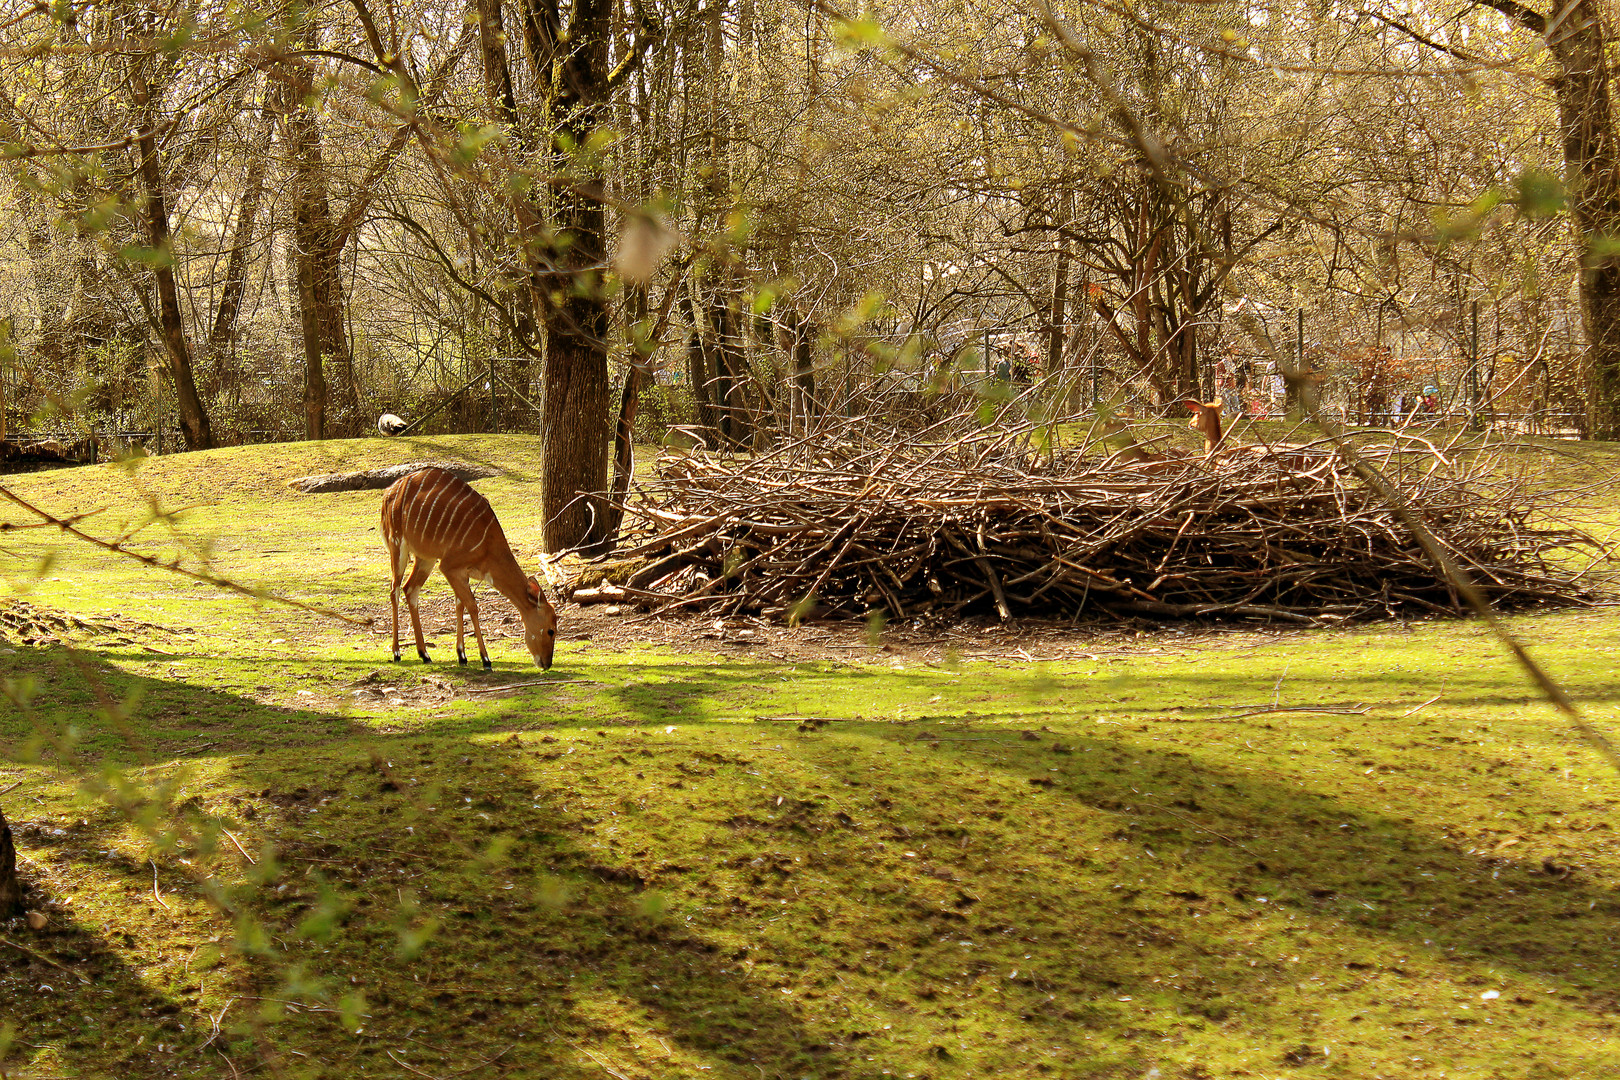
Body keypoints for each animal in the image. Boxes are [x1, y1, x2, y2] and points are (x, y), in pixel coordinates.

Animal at [379, 469, 557, 670]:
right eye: (551, 630)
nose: (547, 663)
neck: (488, 546)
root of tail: (389, 492)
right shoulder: (449, 566)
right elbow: (472, 606)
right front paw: (485, 659)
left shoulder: (462, 573)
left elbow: (460, 605)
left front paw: (462, 656)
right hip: (397, 544)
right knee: (394, 590)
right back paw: (396, 653)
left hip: (426, 558)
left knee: (410, 589)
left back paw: (424, 654)